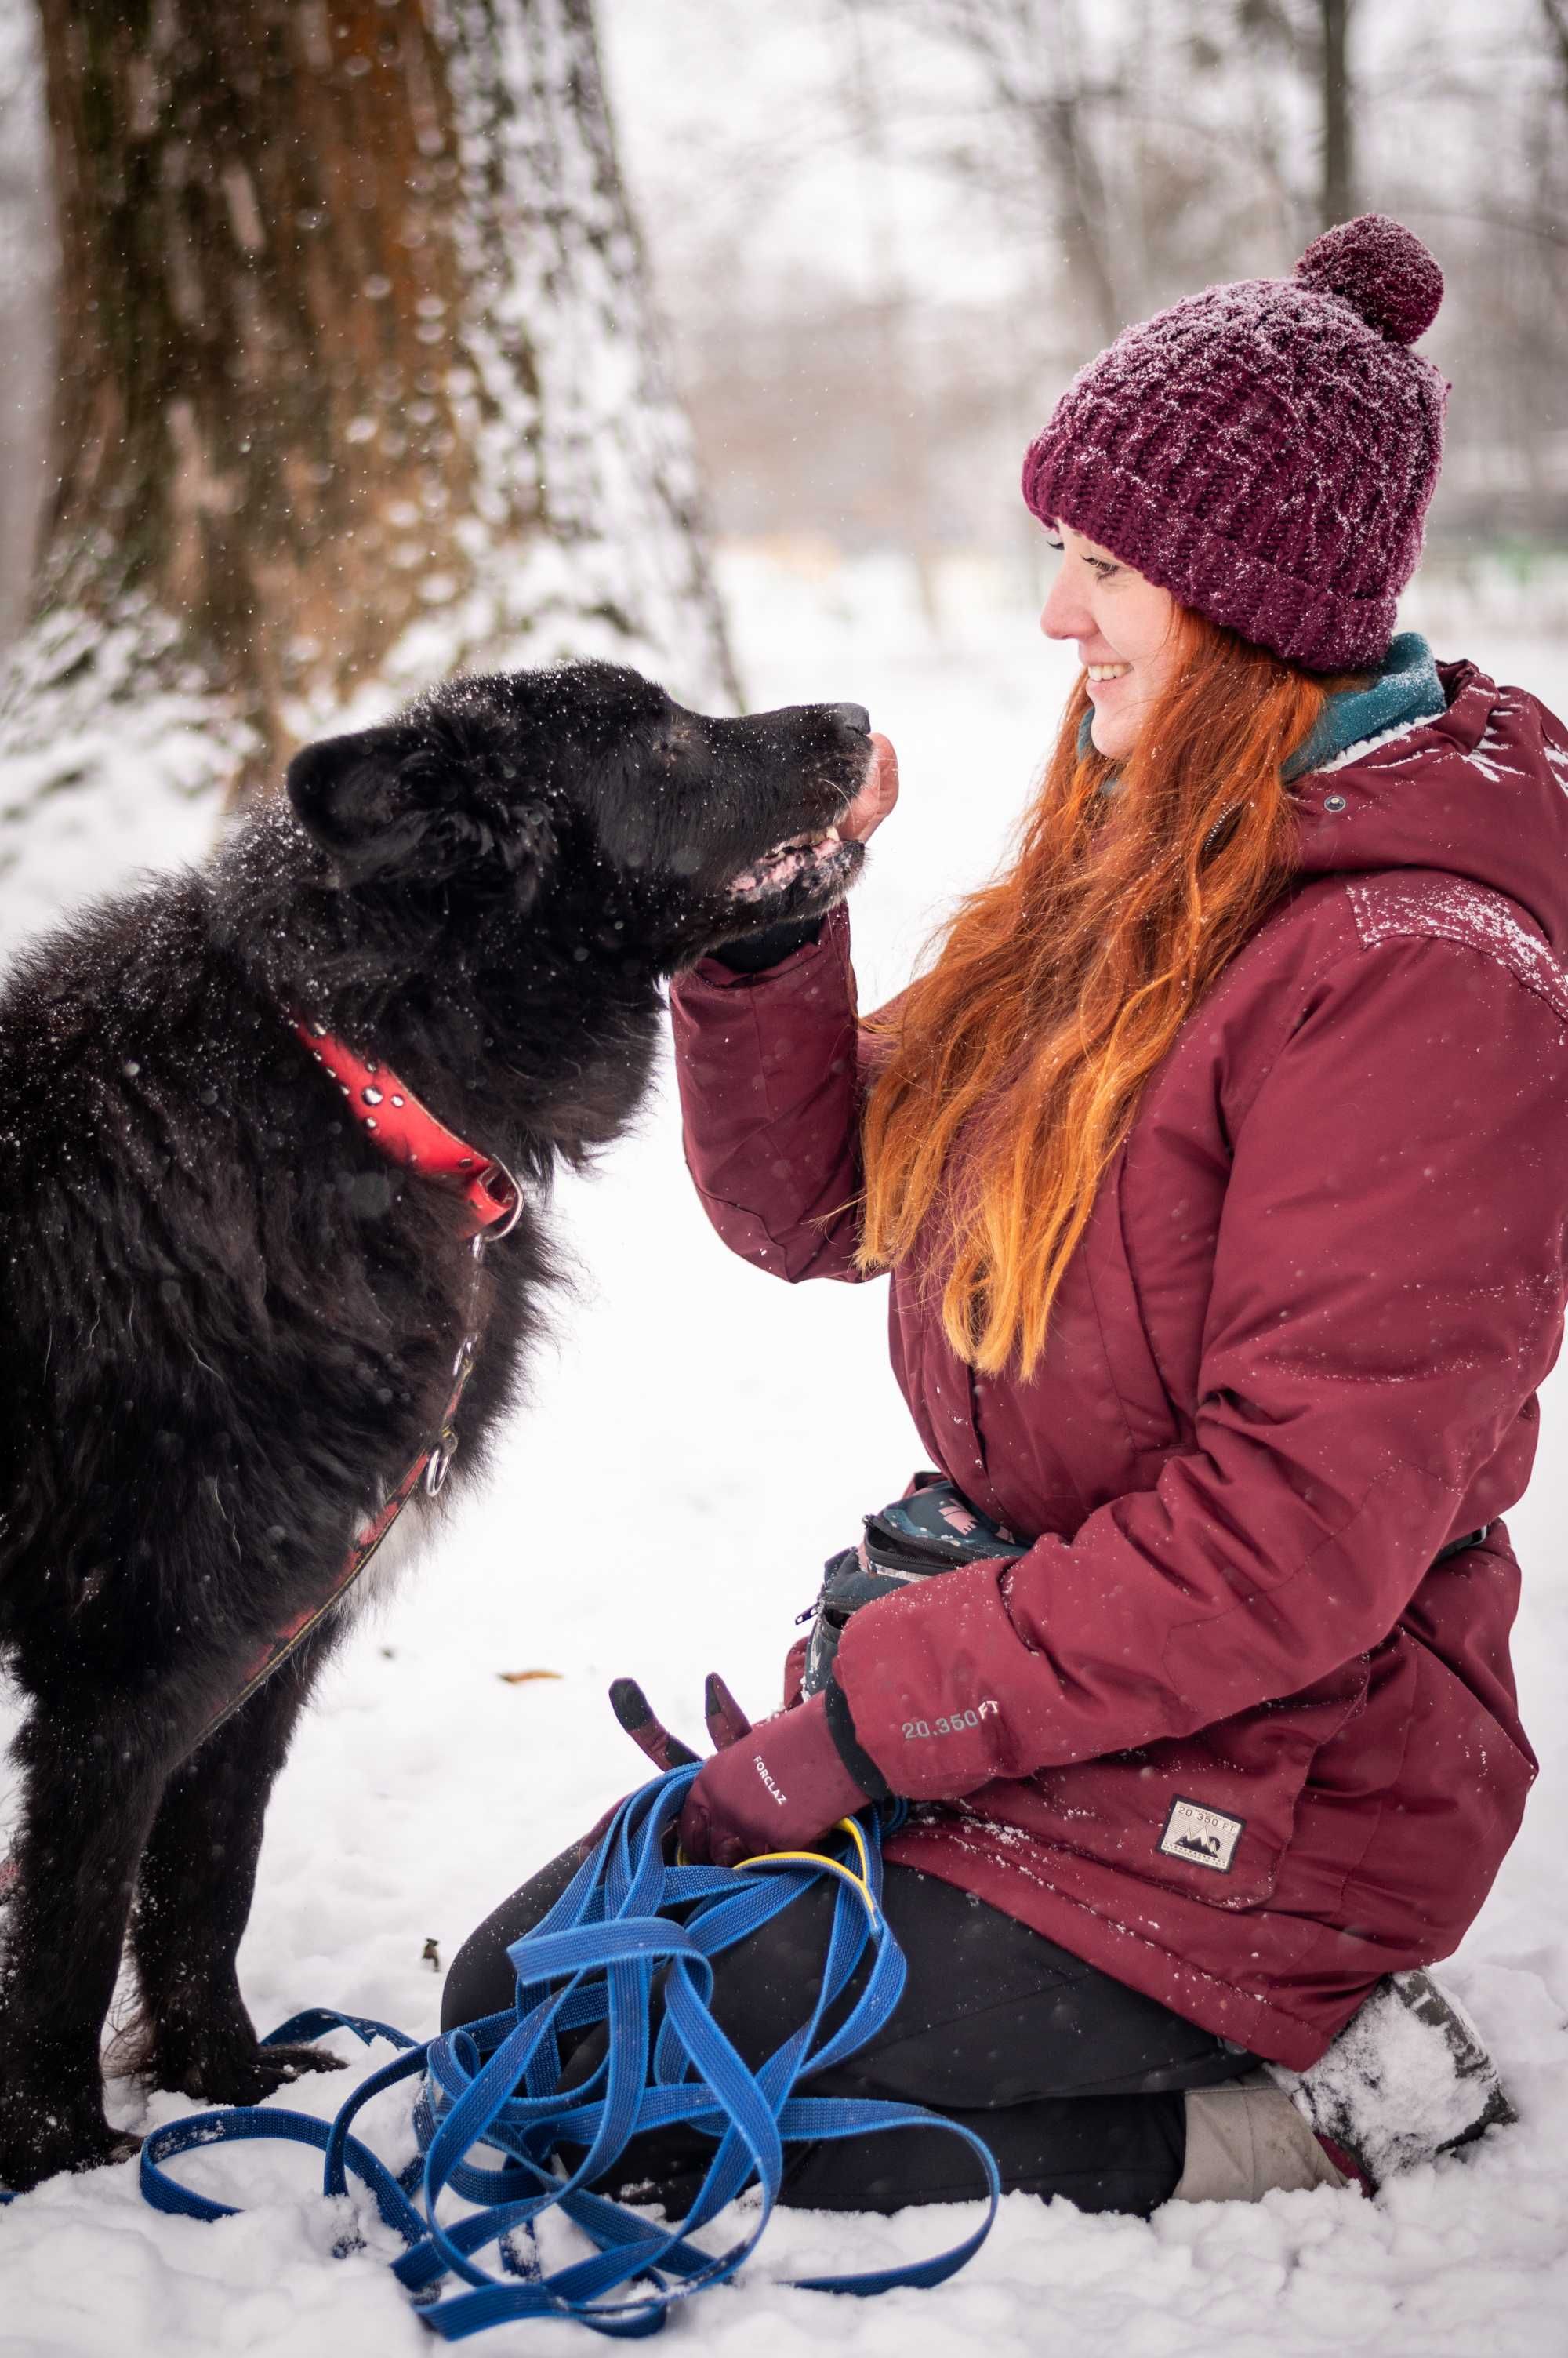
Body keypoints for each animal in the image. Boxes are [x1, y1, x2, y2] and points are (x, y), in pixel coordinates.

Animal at [0, 655, 867, 2178]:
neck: (366, 1086)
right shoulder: (130, 1672)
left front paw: (230, 2081)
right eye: (664, 741)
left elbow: (204, 1880)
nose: (860, 722)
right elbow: (71, 1927)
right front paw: (66, 2156)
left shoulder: (267, 1648)